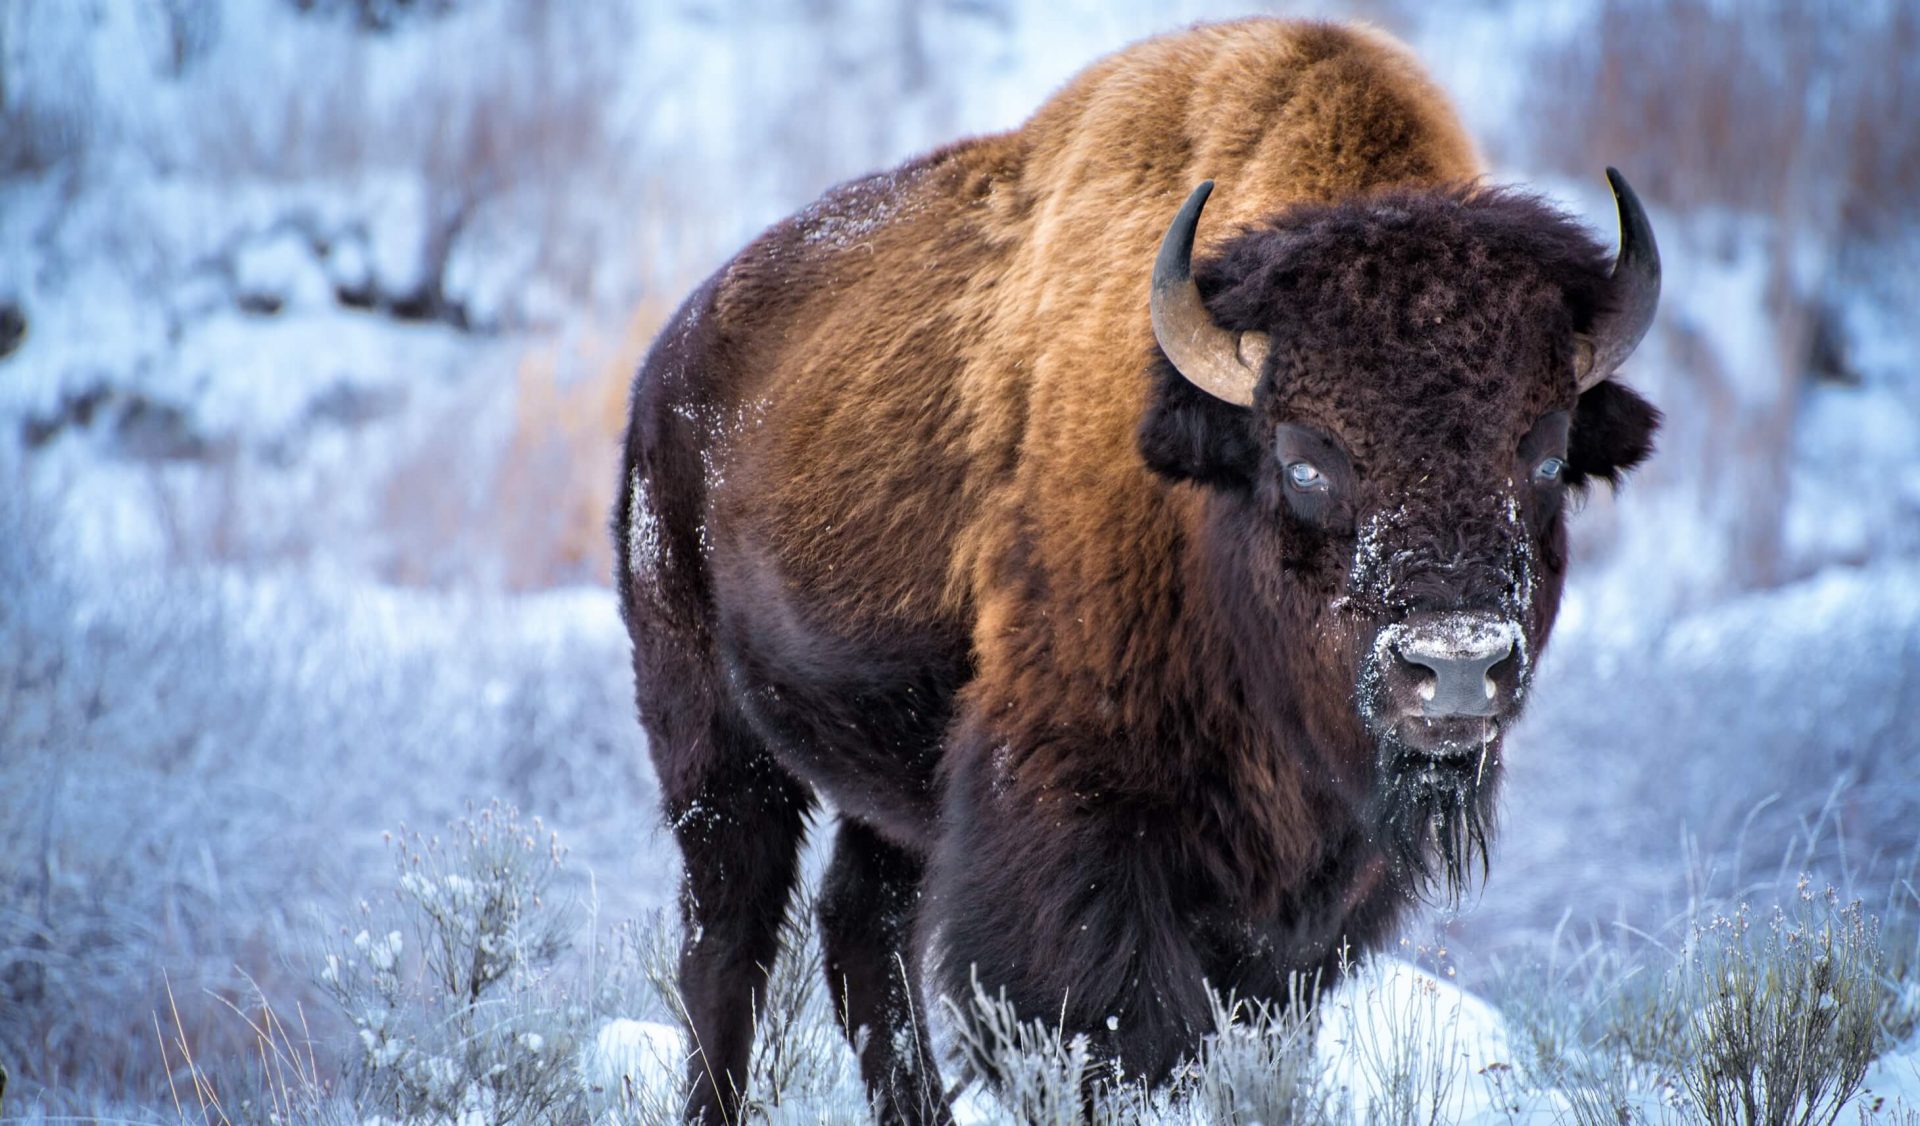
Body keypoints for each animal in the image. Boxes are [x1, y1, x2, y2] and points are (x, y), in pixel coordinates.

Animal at [618, 13, 1666, 1114]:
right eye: (1304, 458)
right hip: (712, 741)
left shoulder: (1319, 887)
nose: (1455, 665)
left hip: (894, 780)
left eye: (1546, 453)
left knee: (863, 924)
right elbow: (1131, 1030)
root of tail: (668, 364)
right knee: (727, 945)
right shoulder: (1075, 827)